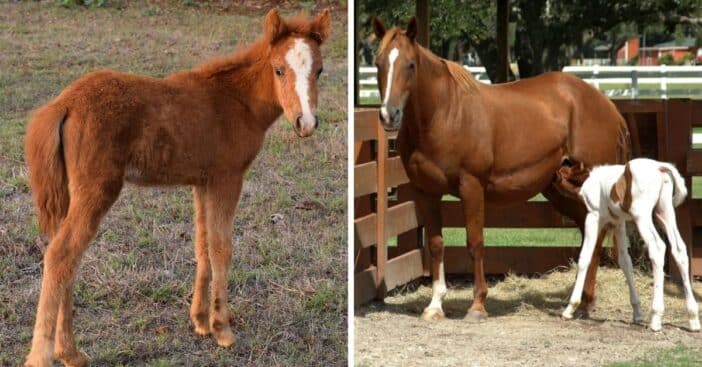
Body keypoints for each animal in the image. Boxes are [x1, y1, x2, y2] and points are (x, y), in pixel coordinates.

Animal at [22, 8, 330, 367]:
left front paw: (200, 321)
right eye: (278, 69)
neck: (235, 100)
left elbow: (202, 246)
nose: (305, 123)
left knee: (66, 260)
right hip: (97, 191)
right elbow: (222, 248)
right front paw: (223, 329)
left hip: (74, 193)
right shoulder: (228, 179)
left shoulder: (202, 182)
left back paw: (69, 352)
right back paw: (45, 355)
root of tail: (65, 103)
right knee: (61, 255)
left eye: (320, 70)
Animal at [374, 17, 632, 322]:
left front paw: (477, 305)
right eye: (378, 63)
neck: (444, 114)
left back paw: (584, 303)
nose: (389, 115)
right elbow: (436, 244)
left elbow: (475, 243)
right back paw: (582, 302)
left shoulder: (471, 187)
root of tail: (607, 106)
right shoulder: (425, 192)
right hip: (560, 188)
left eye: (411, 64)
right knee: (588, 232)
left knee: (597, 232)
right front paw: (435, 305)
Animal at [560, 160, 702, 332]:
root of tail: (660, 167)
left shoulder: (593, 217)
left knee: (658, 248)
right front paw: (637, 312)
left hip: (642, 216)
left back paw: (656, 318)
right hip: (664, 212)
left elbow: (585, 258)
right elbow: (625, 262)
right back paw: (693, 318)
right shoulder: (619, 223)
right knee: (679, 250)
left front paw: (570, 308)